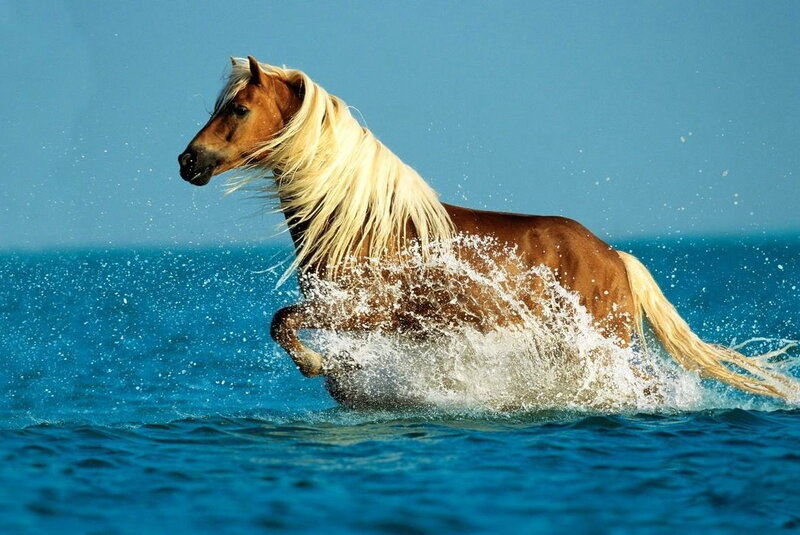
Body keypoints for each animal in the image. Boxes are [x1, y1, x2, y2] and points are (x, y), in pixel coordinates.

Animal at [178, 56, 797, 401]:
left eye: (238, 109)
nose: (188, 162)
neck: (362, 225)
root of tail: (616, 256)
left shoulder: (359, 310)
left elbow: (282, 323)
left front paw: (315, 365)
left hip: (604, 344)